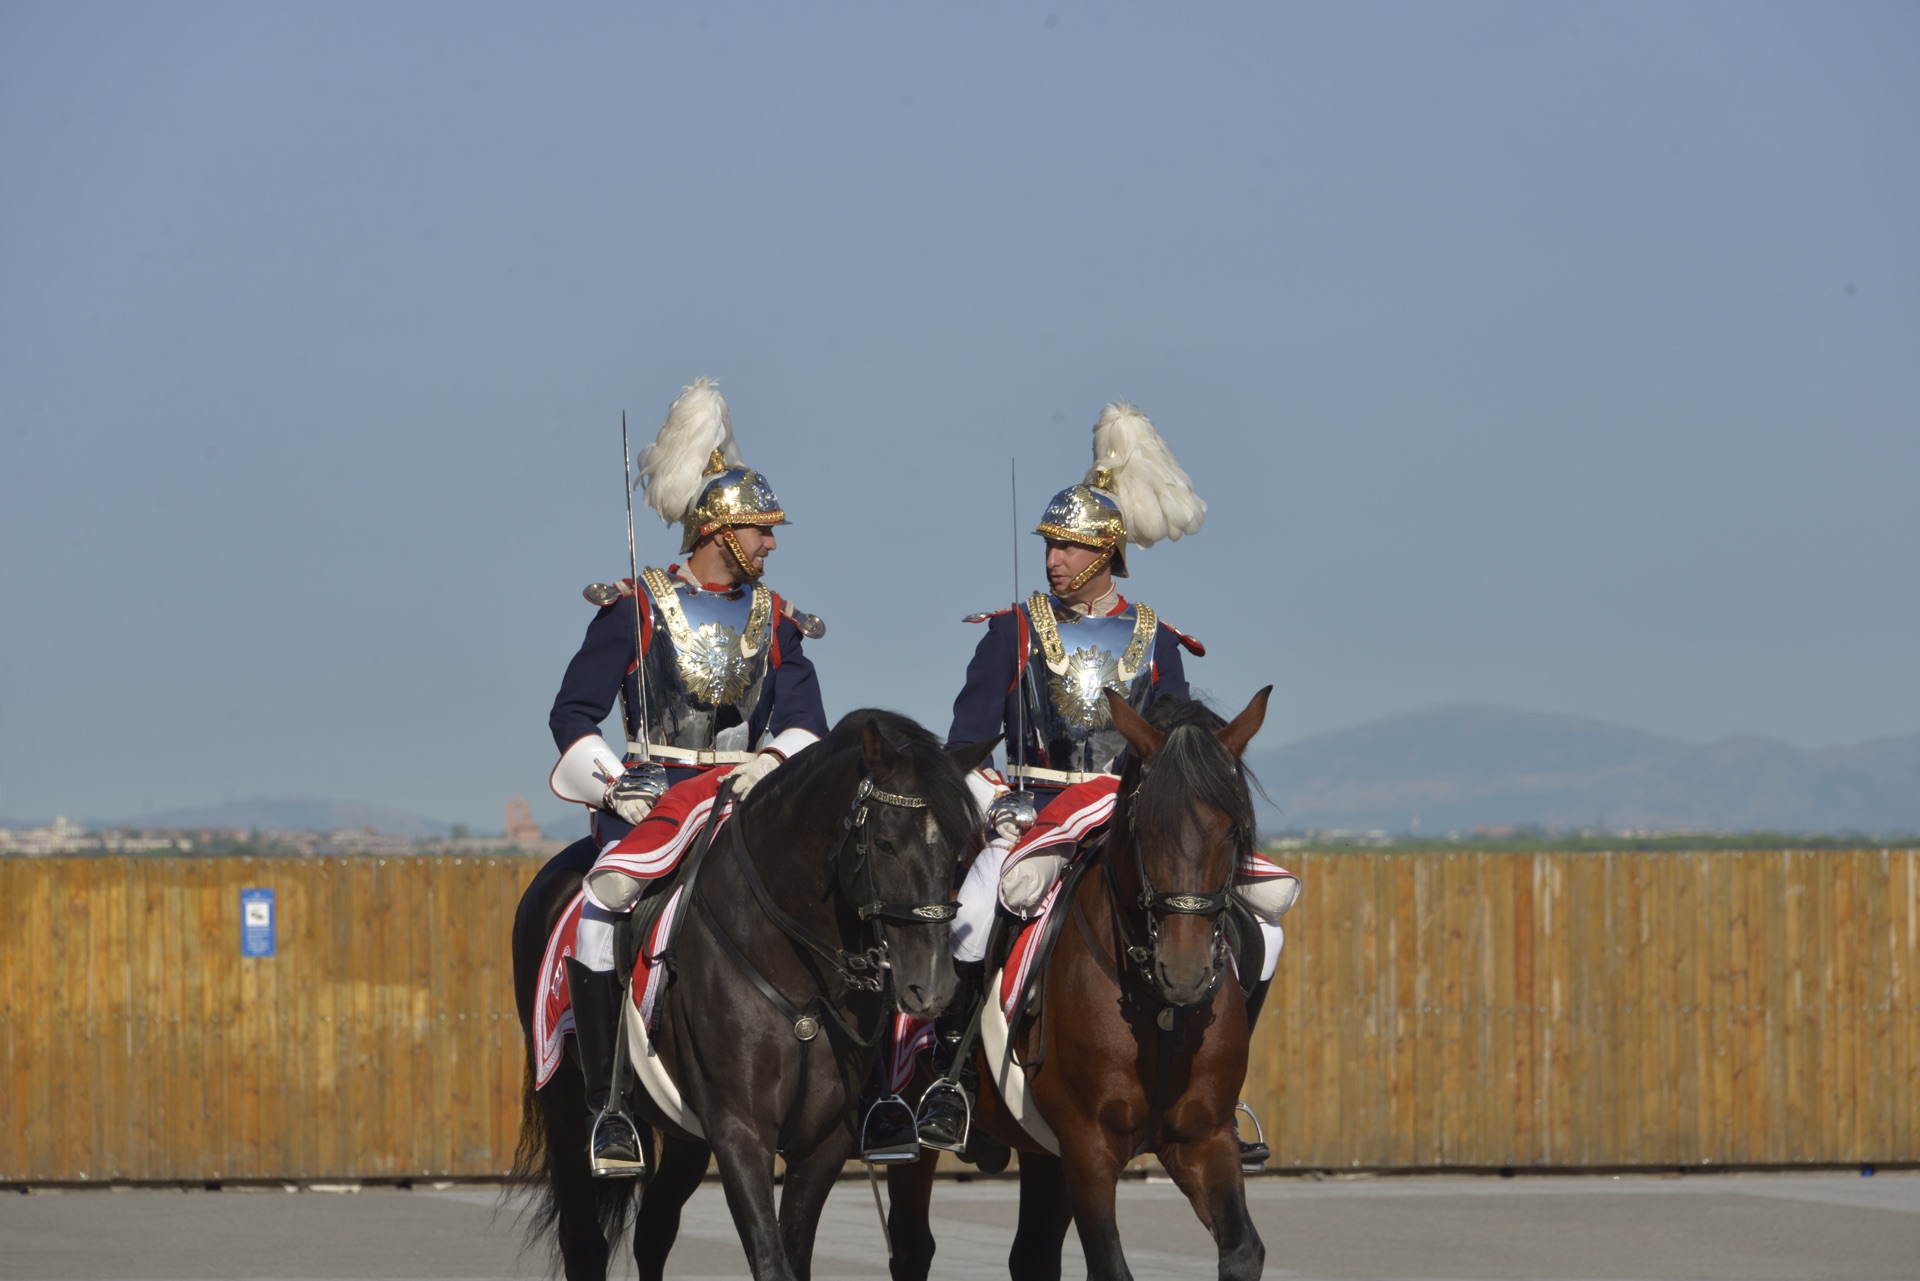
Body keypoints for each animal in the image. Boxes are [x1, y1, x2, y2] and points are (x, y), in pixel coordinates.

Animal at [514, 710, 990, 1281]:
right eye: (885, 844)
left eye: (960, 849)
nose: (933, 986)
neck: (798, 978)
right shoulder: (741, 1131)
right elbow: (770, 1257)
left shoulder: (822, 1141)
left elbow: (793, 1253)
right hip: (565, 1108)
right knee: (584, 1242)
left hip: (683, 1134)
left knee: (653, 1230)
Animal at [887, 691, 1274, 1281]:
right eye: (1144, 827)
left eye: (1232, 830)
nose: (1184, 973)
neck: (1158, 1010)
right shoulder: (1088, 1146)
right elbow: (1110, 1265)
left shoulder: (1202, 1140)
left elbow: (1243, 1250)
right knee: (911, 1246)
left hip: (1042, 1149)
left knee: (1032, 1254)